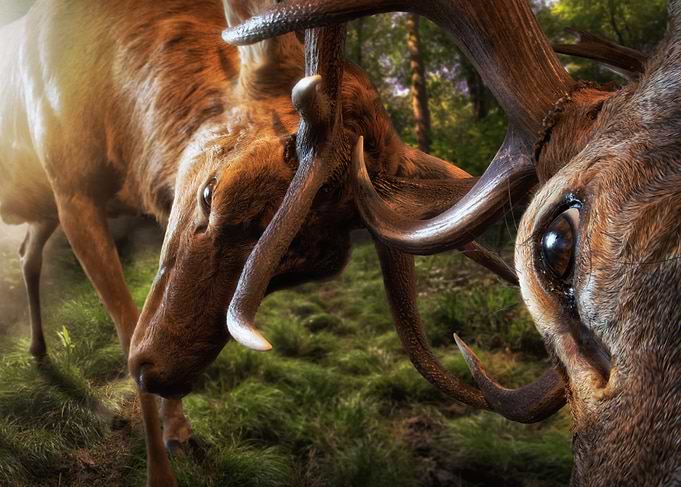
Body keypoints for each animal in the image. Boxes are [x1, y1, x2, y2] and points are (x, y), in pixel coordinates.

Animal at [0, 0, 516, 484]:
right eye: (211, 194)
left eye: (316, 265)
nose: (157, 374)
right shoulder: (72, 189)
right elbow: (126, 326)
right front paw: (159, 473)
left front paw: (179, 433)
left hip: (41, 211)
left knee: (27, 253)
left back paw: (39, 351)